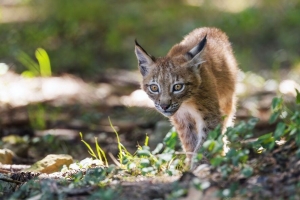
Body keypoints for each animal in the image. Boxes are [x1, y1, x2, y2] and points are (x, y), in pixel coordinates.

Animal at [135, 27, 238, 169]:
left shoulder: (211, 115)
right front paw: (191, 164)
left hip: (227, 101)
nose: (164, 106)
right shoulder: (181, 119)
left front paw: (198, 166)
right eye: (154, 88)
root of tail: (211, 28)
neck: (186, 102)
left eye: (178, 87)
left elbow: (205, 142)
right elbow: (190, 142)